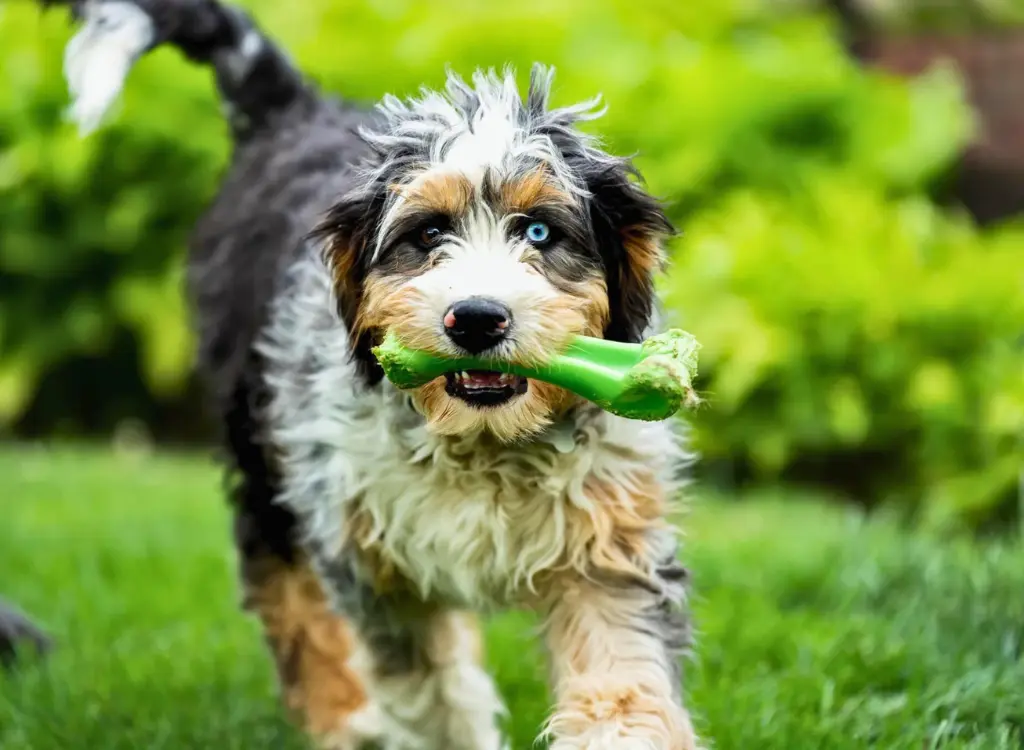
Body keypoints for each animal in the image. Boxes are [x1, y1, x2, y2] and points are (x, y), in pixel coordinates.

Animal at [37, 2, 696, 745]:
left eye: (539, 233)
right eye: (428, 234)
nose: (476, 319)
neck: (486, 447)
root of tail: (292, 109)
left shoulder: (609, 551)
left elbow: (622, 680)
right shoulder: (371, 563)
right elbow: (428, 692)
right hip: (262, 445)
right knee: (285, 587)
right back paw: (343, 719)